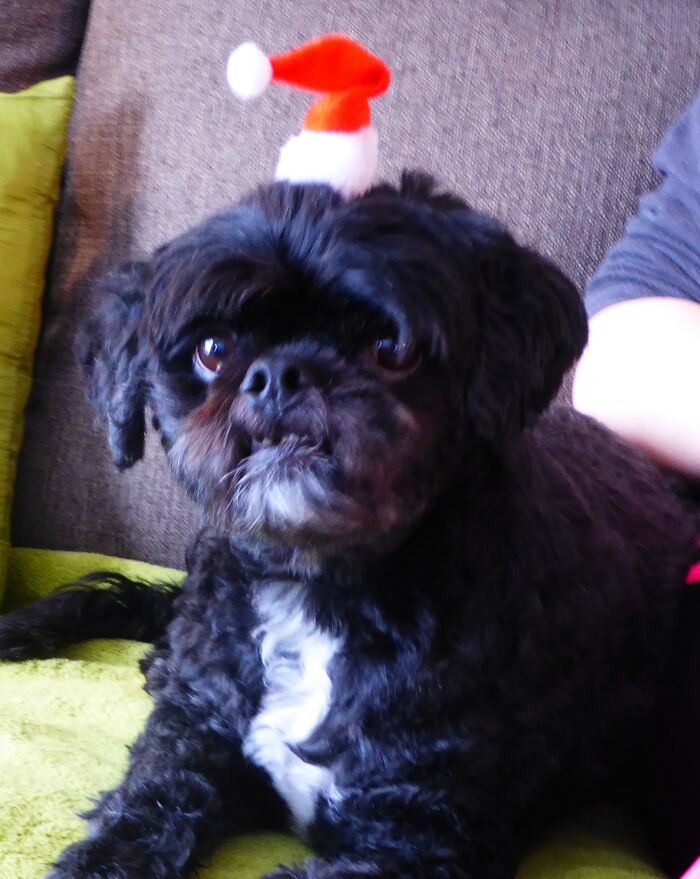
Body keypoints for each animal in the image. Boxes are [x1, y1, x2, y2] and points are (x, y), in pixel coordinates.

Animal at [1, 174, 700, 879]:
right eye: (213, 351)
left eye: (391, 349)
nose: (279, 374)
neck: (320, 587)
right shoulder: (196, 737)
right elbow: (148, 802)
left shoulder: (420, 831)